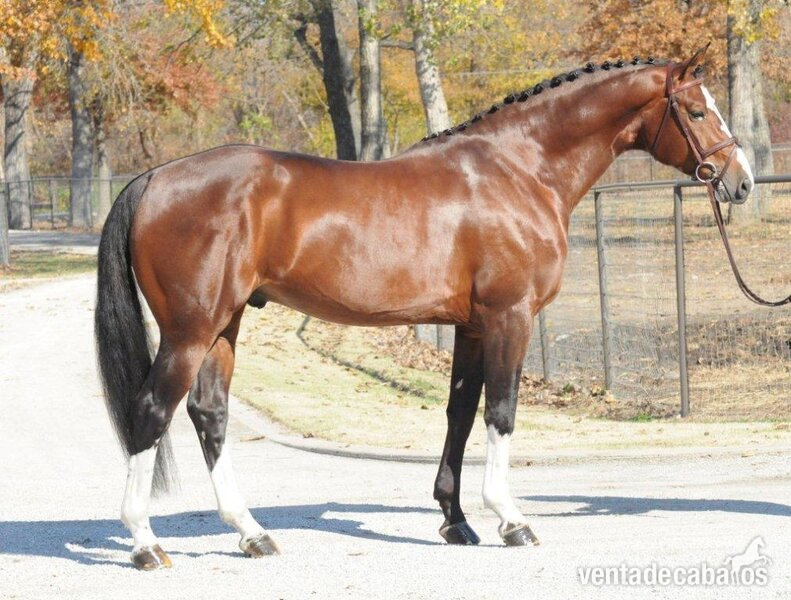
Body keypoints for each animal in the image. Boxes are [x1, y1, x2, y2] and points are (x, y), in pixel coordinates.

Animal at [95, 45, 754, 569]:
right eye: (698, 111)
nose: (740, 181)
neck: (519, 170)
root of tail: (154, 177)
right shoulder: (510, 316)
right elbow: (502, 412)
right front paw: (510, 519)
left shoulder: (471, 326)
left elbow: (460, 414)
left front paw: (455, 520)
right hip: (190, 330)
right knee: (152, 412)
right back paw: (145, 544)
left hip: (224, 327)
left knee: (209, 414)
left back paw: (252, 534)